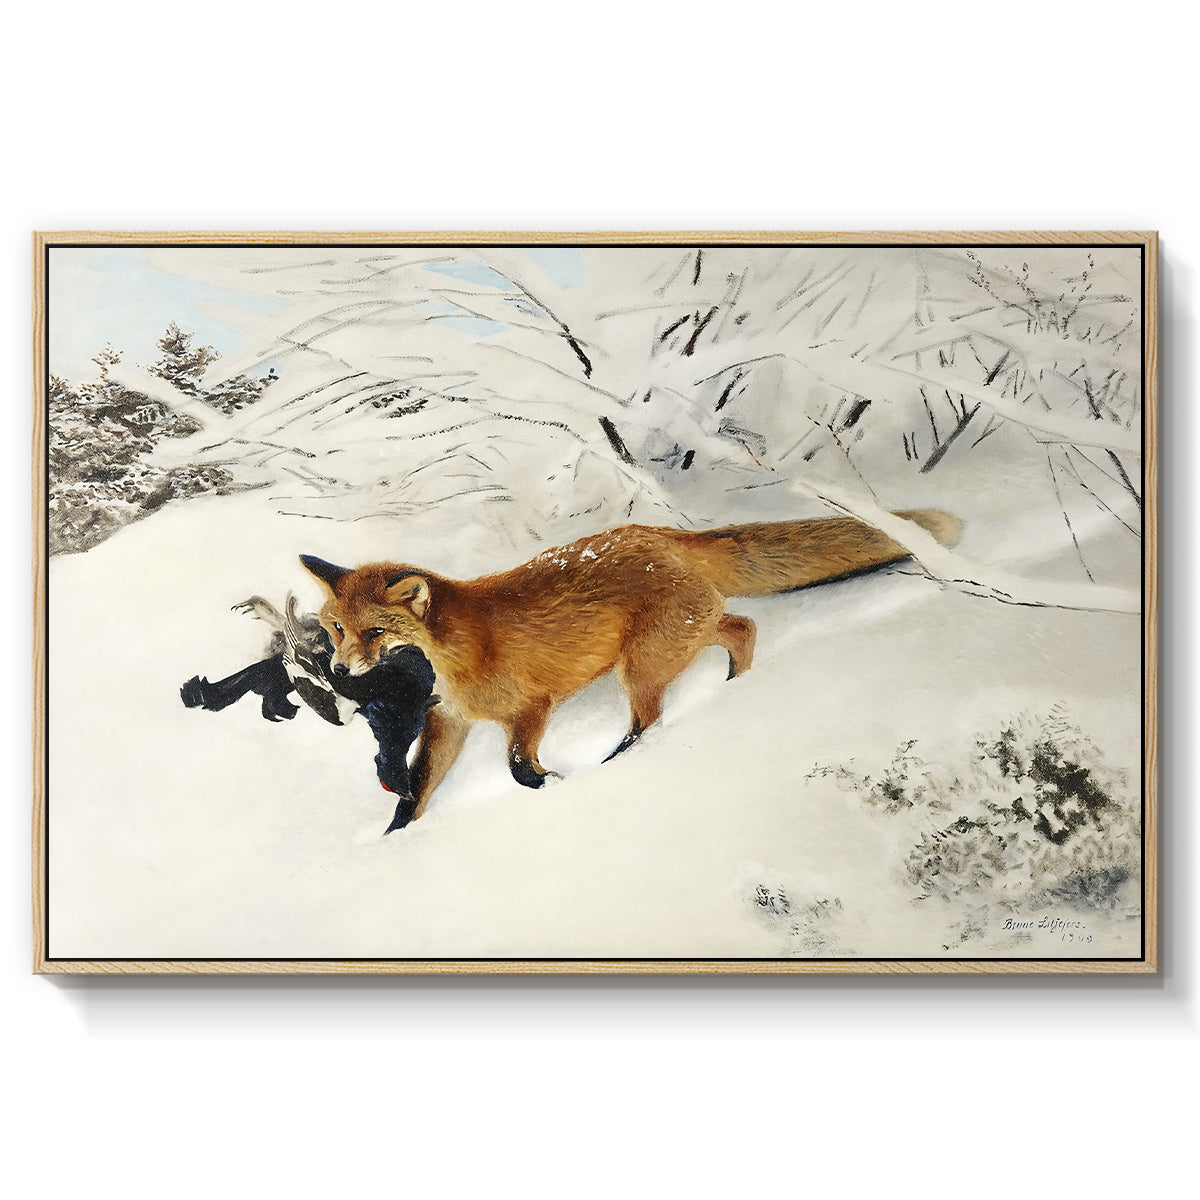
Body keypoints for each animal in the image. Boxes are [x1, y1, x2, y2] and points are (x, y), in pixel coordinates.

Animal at [301, 509, 962, 826]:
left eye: (375, 633)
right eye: (336, 629)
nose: (342, 669)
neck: (455, 653)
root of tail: (659, 533)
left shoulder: (530, 708)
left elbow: (518, 770)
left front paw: (557, 785)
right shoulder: (450, 722)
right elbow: (415, 793)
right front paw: (394, 840)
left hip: (641, 666)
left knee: (651, 720)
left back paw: (621, 761)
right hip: (677, 640)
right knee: (742, 627)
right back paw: (735, 688)